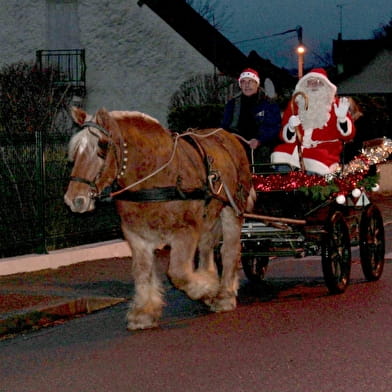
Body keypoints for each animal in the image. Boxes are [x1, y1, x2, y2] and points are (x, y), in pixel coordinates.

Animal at [65, 108, 254, 330]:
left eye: (102, 147)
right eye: (75, 152)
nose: (74, 199)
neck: (156, 177)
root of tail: (229, 136)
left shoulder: (185, 231)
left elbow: (178, 273)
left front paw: (207, 289)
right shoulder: (136, 235)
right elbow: (142, 271)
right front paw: (144, 313)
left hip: (232, 210)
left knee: (229, 251)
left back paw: (224, 295)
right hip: (209, 216)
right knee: (207, 248)